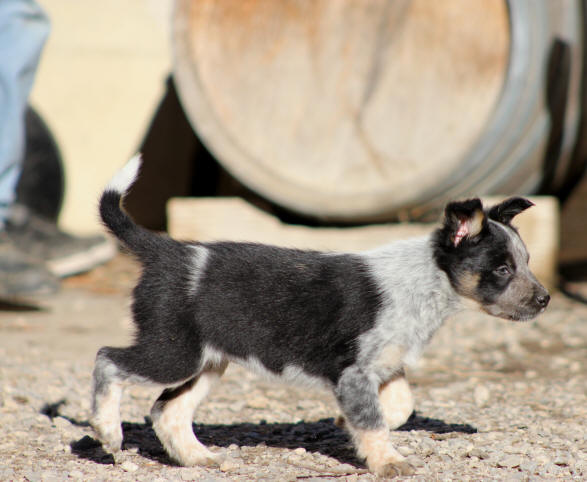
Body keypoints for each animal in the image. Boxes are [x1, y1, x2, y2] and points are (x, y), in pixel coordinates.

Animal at [90, 154, 552, 474]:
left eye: (526, 262)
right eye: (503, 269)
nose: (546, 299)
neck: (426, 281)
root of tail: (166, 249)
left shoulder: (383, 365)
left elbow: (397, 406)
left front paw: (347, 422)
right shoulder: (355, 371)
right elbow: (373, 420)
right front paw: (388, 461)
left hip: (208, 361)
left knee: (168, 411)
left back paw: (197, 457)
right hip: (173, 352)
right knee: (107, 360)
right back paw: (108, 430)